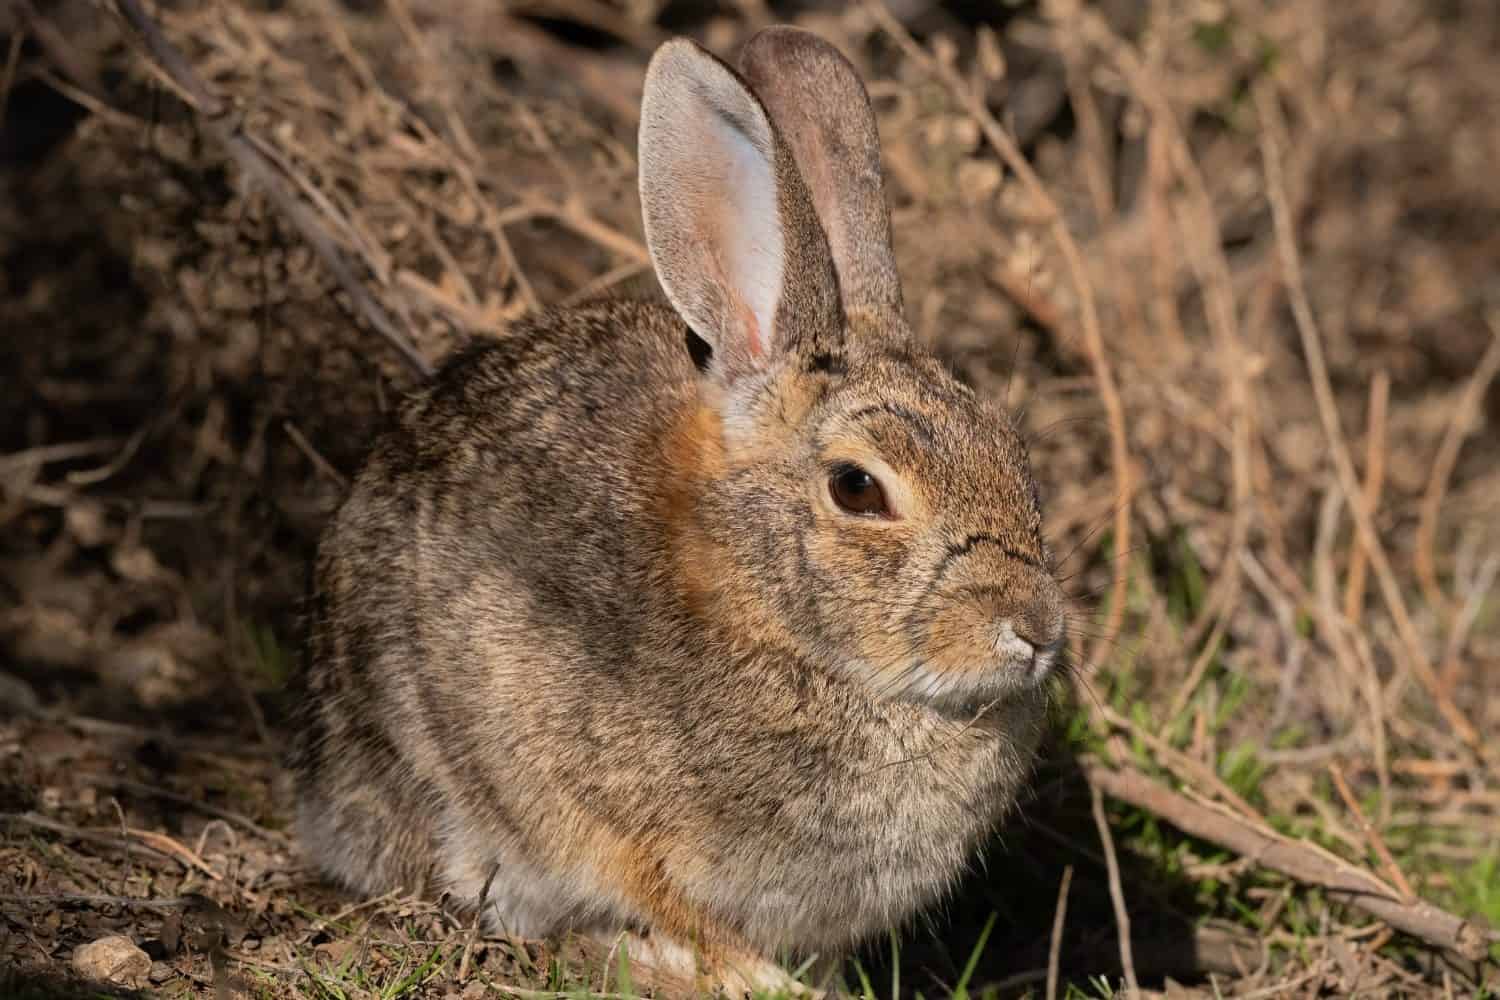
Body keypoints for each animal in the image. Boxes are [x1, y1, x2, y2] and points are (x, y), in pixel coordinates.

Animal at [289, 24, 1068, 998]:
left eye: (1013, 452)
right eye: (858, 489)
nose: (1036, 630)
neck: (769, 613)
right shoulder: (599, 812)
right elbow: (665, 900)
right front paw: (750, 980)